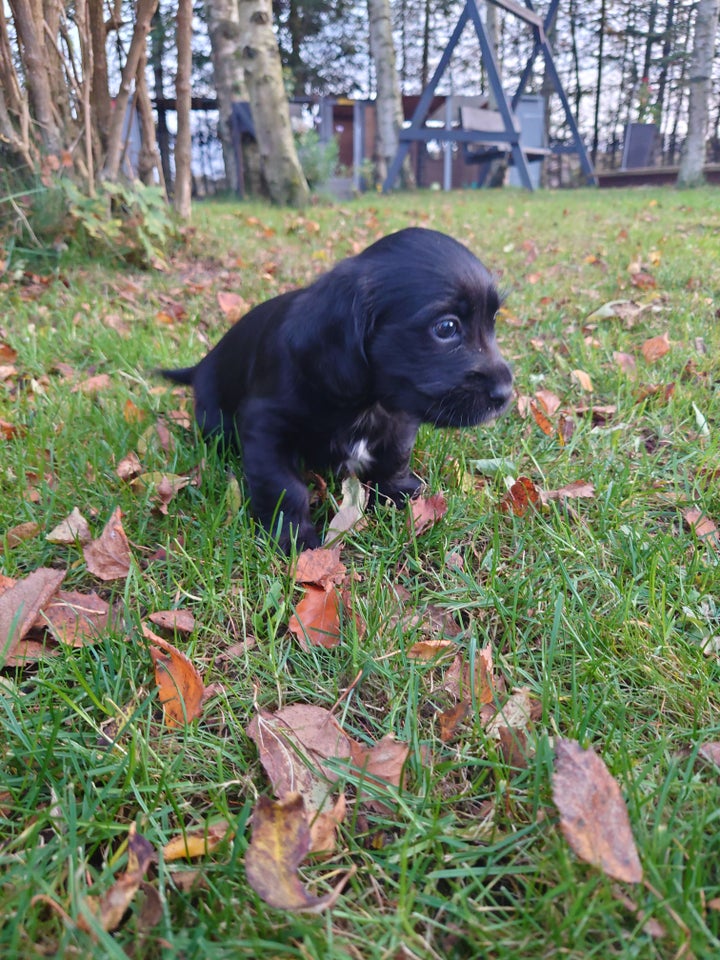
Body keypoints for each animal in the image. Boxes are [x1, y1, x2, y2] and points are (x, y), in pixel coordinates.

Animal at [163, 226, 512, 552]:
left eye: (494, 320)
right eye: (446, 327)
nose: (506, 394)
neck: (367, 403)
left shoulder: (400, 417)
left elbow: (395, 455)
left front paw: (399, 492)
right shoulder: (266, 427)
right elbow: (283, 486)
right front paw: (291, 537)